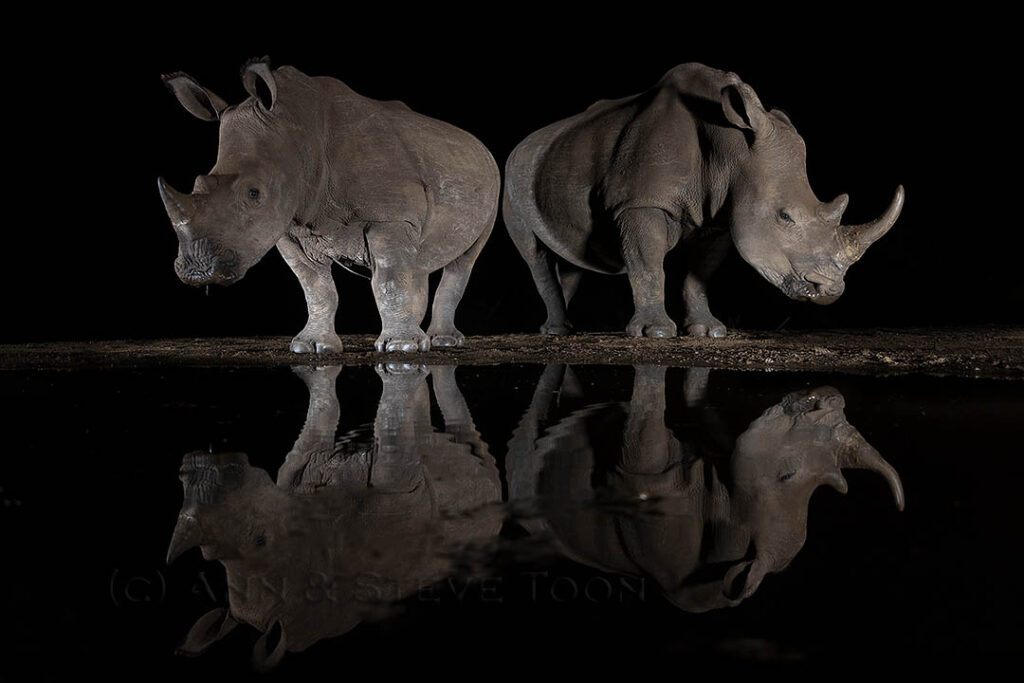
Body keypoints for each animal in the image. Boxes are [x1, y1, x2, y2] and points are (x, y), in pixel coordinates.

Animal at [158, 59, 500, 353]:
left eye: (254, 193)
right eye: (198, 184)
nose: (197, 270)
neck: (298, 136)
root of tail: (478, 145)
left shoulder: (389, 216)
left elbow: (389, 280)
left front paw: (400, 347)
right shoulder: (289, 228)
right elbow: (316, 288)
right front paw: (311, 346)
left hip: (492, 181)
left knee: (463, 260)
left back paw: (440, 342)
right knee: (416, 261)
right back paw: (422, 336)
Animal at [503, 63, 904, 337]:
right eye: (785, 217)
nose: (831, 290)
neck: (732, 148)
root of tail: (524, 143)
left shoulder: (721, 218)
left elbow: (700, 275)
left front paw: (709, 331)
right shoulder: (640, 201)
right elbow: (647, 263)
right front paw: (655, 333)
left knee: (572, 258)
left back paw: (563, 328)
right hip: (513, 172)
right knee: (532, 251)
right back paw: (557, 331)